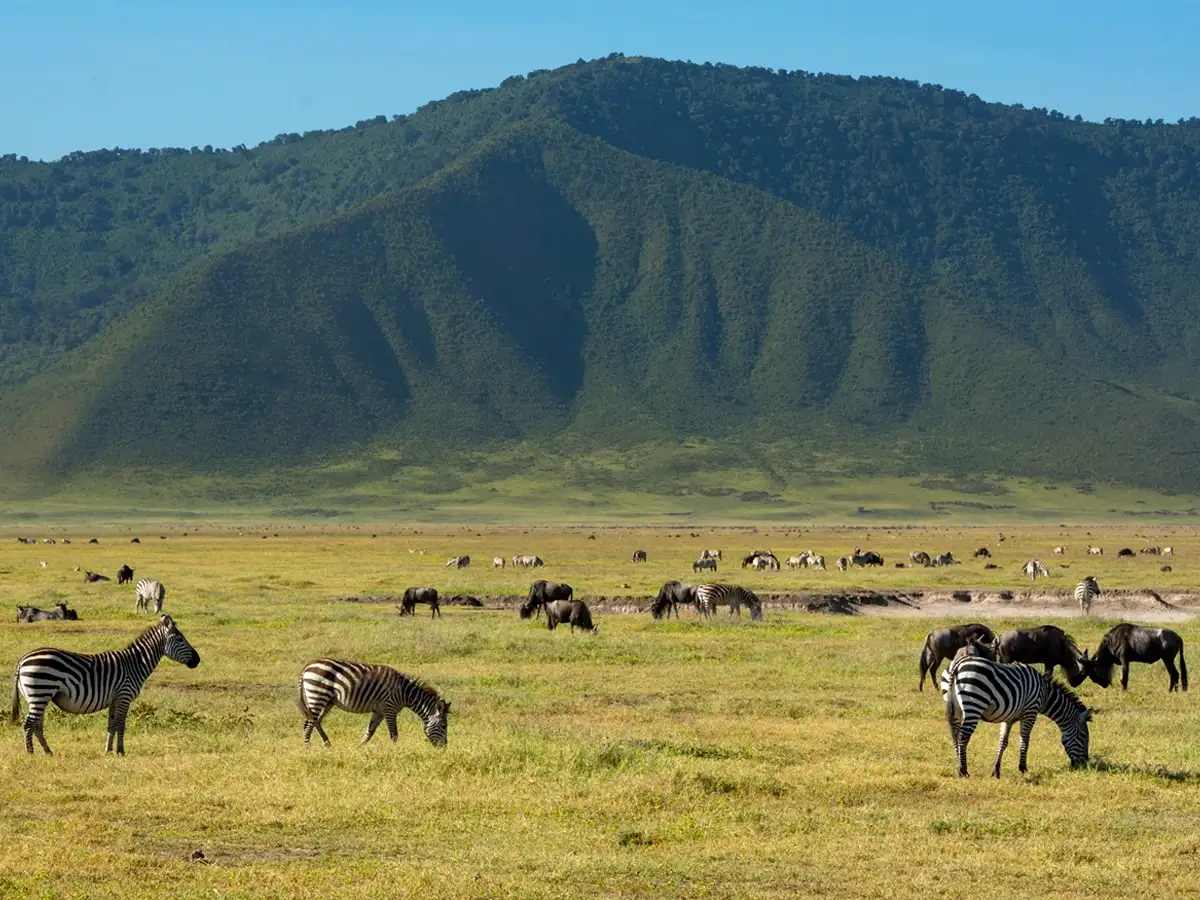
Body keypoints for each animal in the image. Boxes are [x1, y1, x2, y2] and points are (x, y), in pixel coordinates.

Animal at [11, 614, 200, 755]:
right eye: (180, 639)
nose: (197, 660)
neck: (135, 664)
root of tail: (22, 661)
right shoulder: (124, 696)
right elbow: (121, 724)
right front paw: (121, 752)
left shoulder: (114, 699)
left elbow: (111, 725)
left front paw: (108, 751)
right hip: (41, 691)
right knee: (29, 723)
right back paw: (31, 753)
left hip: (36, 696)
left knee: (36, 724)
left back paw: (47, 751)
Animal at [297, 659, 450, 747]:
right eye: (443, 726)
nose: (444, 748)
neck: (404, 693)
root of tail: (307, 667)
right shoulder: (389, 708)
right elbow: (394, 734)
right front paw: (396, 752)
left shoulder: (379, 711)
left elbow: (369, 732)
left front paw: (359, 748)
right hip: (318, 694)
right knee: (309, 722)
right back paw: (308, 747)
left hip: (328, 700)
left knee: (315, 721)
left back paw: (327, 743)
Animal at [940, 656, 1091, 777]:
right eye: (1083, 736)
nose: (1085, 765)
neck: (1045, 695)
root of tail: (957, 664)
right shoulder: (1031, 710)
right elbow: (1025, 739)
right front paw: (1023, 768)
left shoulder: (1009, 717)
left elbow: (1003, 742)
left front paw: (996, 771)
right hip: (974, 704)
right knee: (963, 737)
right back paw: (963, 770)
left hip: (955, 708)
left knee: (955, 735)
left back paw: (958, 766)